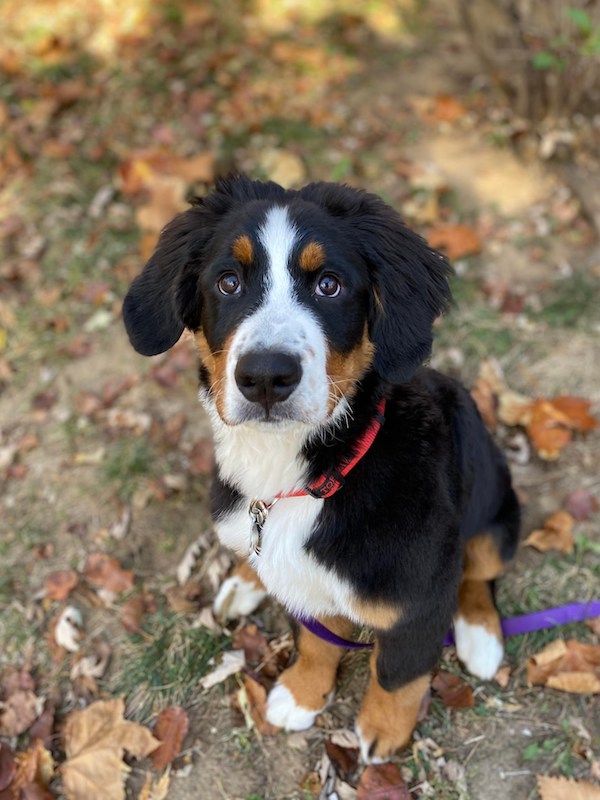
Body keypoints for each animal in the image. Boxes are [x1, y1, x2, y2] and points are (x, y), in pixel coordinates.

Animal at [123, 173, 520, 764]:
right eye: (228, 282)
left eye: (329, 285)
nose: (266, 377)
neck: (298, 477)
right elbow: (314, 639)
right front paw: (303, 692)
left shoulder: (418, 599)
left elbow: (398, 675)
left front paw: (381, 731)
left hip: (495, 506)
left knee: (480, 569)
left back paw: (480, 635)